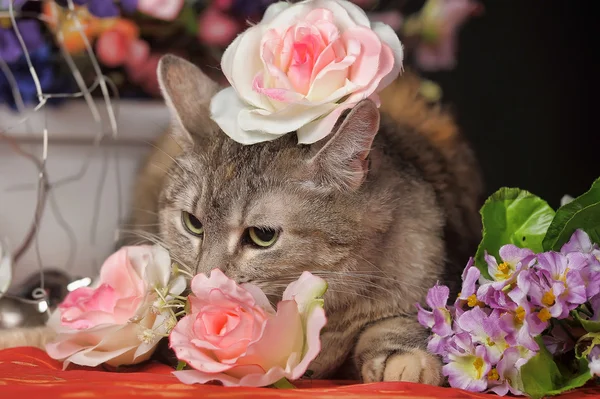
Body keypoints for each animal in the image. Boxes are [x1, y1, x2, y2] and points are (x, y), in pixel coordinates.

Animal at [0, 54, 480, 388]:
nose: (203, 280)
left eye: (262, 236)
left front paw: (405, 360)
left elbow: (396, 323)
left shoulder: (423, 273)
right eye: (193, 223)